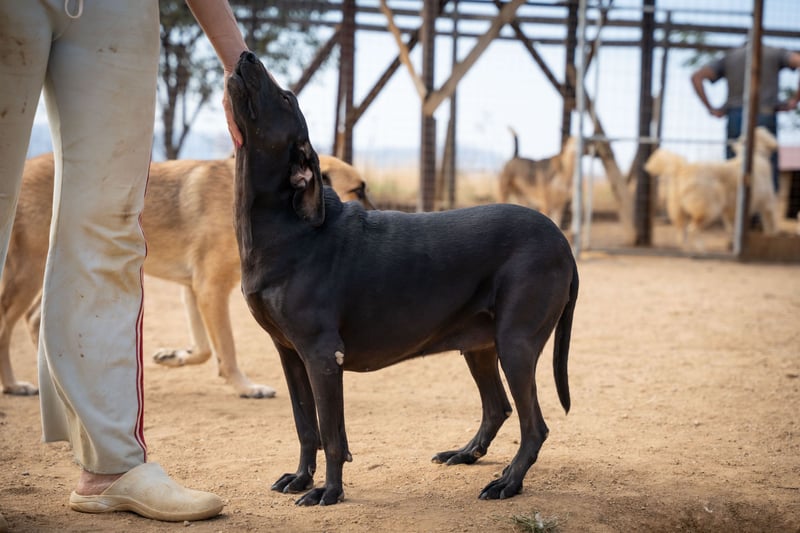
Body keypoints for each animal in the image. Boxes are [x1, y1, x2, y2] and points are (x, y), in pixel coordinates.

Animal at [0, 152, 372, 397]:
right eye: (358, 190)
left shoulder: (193, 290)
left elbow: (206, 349)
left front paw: (173, 357)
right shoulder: (210, 290)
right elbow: (227, 346)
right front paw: (246, 387)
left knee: (36, 320)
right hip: (30, 270)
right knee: (9, 324)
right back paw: (15, 385)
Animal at [228, 51, 579, 506]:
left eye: (286, 98)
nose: (246, 55)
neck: (285, 222)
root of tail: (561, 240)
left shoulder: (322, 355)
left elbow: (331, 435)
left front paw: (330, 491)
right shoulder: (290, 354)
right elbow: (307, 428)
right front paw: (302, 478)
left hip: (515, 343)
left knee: (534, 426)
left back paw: (509, 482)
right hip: (480, 344)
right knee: (497, 407)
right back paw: (465, 454)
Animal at [645, 126, 778, 250]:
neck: (756, 155)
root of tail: (682, 168)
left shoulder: (731, 212)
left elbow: (733, 228)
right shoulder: (767, 205)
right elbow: (771, 224)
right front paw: (772, 237)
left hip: (679, 211)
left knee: (681, 233)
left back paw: (686, 247)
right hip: (709, 209)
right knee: (692, 229)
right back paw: (700, 248)